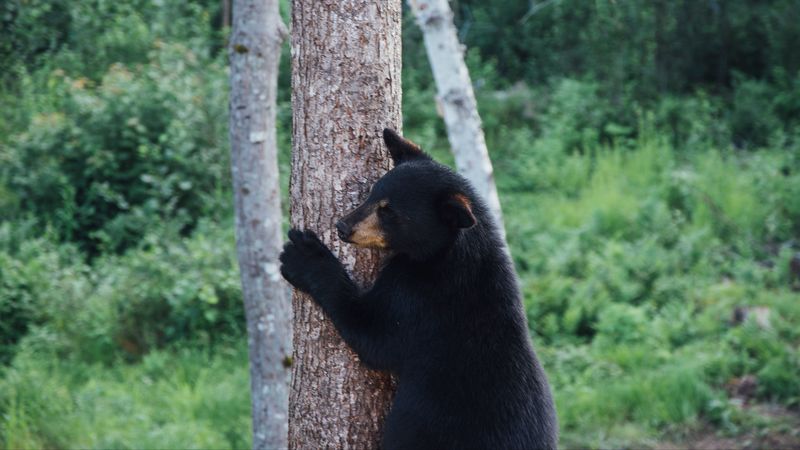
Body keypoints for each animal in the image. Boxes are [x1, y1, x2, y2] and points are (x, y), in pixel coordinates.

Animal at [280, 128, 558, 450]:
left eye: (389, 212)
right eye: (372, 193)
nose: (342, 226)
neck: (444, 253)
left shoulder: (423, 300)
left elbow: (374, 334)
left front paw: (303, 256)